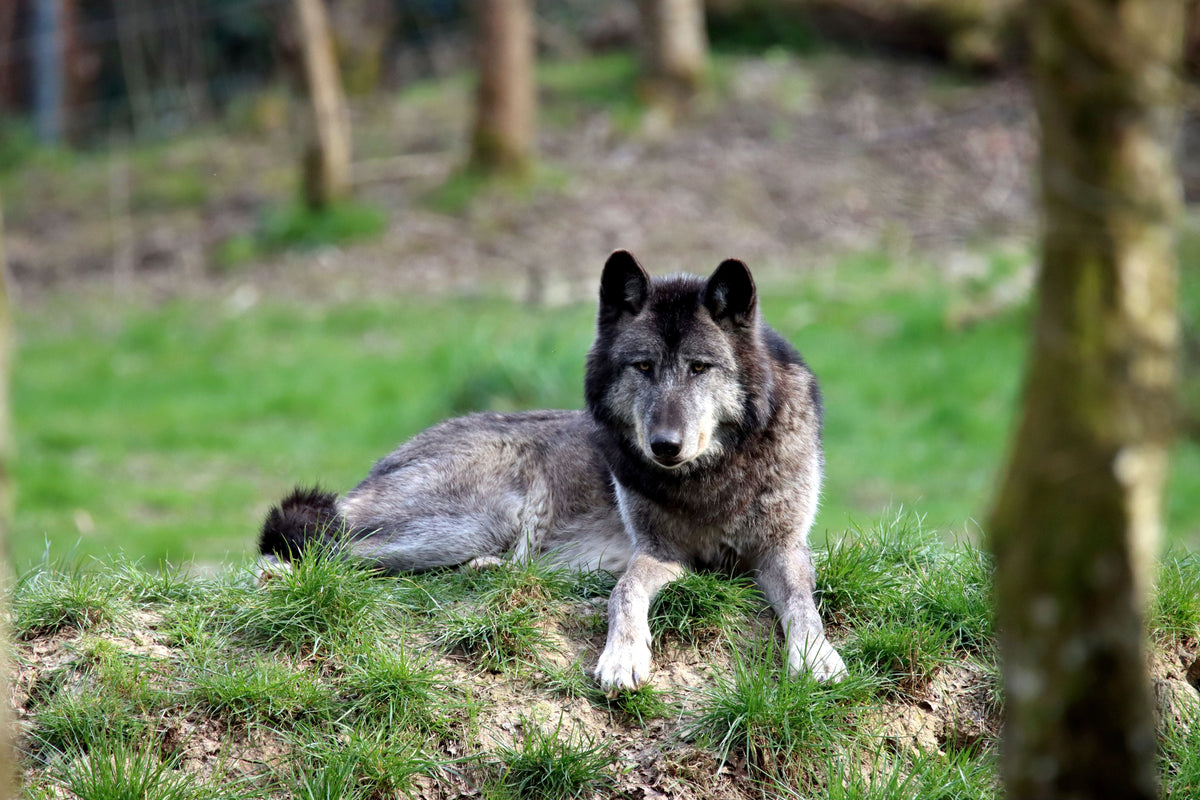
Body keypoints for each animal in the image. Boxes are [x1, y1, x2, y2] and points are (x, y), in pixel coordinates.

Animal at [259, 250, 846, 691]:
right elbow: (624, 591)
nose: (665, 446)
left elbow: (803, 600)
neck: (712, 476)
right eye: (643, 367)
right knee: (320, 553)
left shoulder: (782, 548)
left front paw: (817, 657)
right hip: (473, 519)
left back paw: (489, 570)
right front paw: (622, 657)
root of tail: (385, 462)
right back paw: (284, 575)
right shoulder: (658, 552)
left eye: (700, 368)